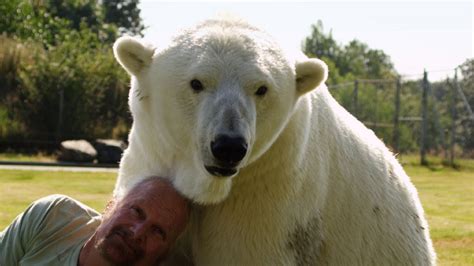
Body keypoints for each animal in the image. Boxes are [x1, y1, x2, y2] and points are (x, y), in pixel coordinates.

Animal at [113, 17, 436, 264]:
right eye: (196, 83)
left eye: (261, 88)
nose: (228, 147)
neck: (208, 185)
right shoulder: (152, 158)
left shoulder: (269, 194)